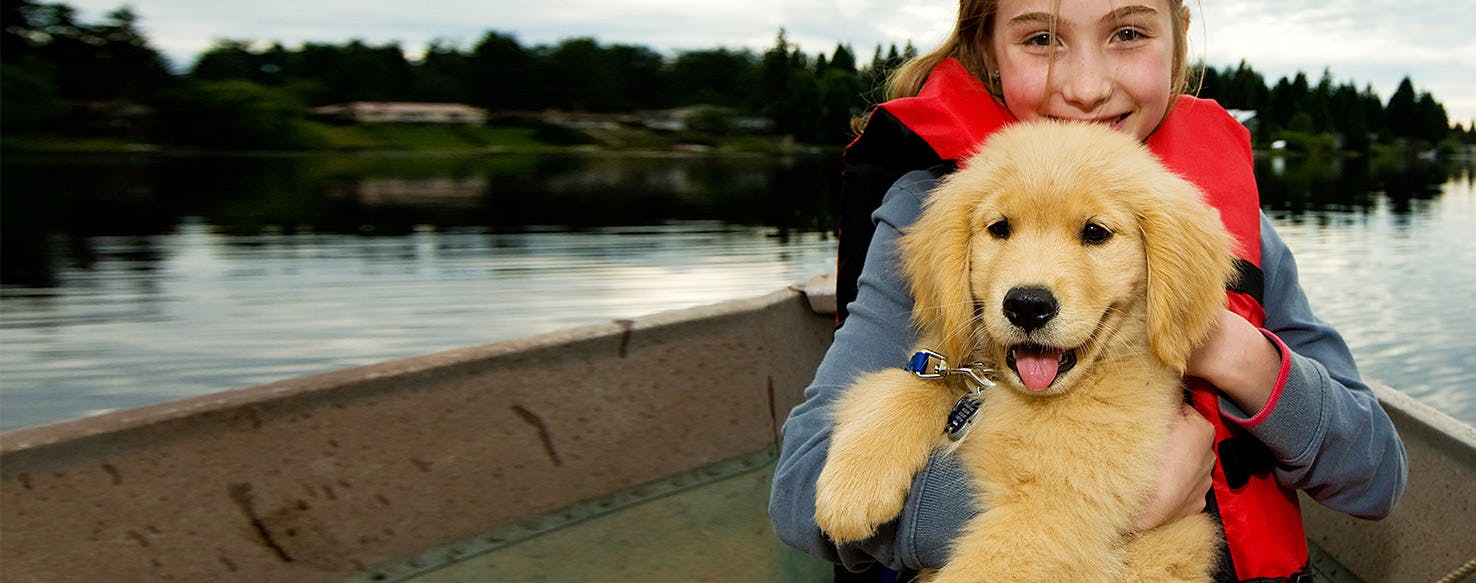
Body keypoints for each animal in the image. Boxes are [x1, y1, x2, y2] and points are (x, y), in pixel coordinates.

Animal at [814, 121, 1239, 581]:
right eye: (1000, 228)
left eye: (1096, 232)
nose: (1028, 305)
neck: (1014, 394)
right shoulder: (947, 365)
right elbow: (902, 383)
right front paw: (854, 484)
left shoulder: (1053, 514)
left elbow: (986, 568)